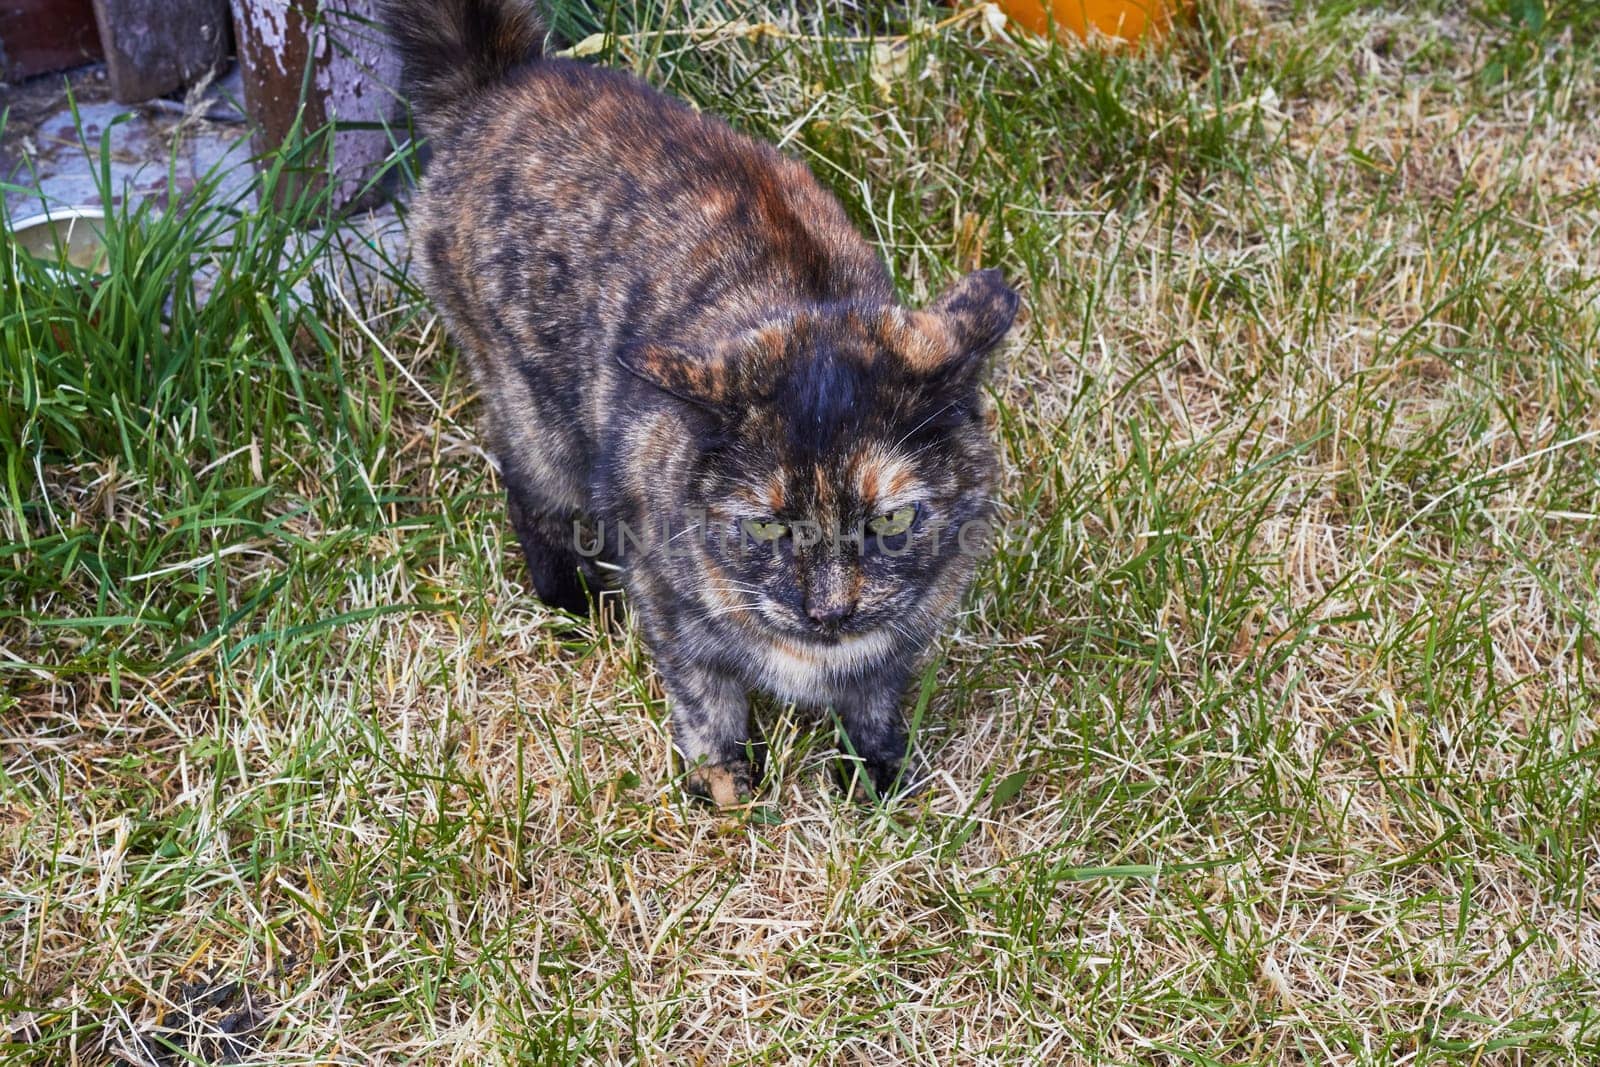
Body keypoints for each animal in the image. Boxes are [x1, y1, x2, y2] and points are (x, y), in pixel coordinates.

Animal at [380, 0, 1017, 799]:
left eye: (892, 520)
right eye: (767, 528)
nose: (830, 609)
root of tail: (509, 79)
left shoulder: (905, 631)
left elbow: (874, 694)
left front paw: (879, 775)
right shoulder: (669, 602)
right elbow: (704, 698)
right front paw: (728, 787)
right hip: (533, 408)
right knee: (530, 492)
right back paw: (571, 602)